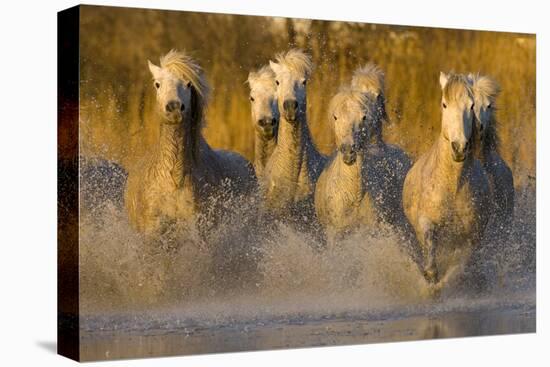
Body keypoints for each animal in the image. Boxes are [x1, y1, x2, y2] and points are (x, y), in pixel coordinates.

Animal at [402, 72, 492, 288]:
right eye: (444, 104)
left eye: (471, 105)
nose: (459, 147)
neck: (452, 186)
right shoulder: (426, 223)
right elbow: (430, 250)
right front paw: (431, 278)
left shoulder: (472, 236)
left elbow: (462, 263)